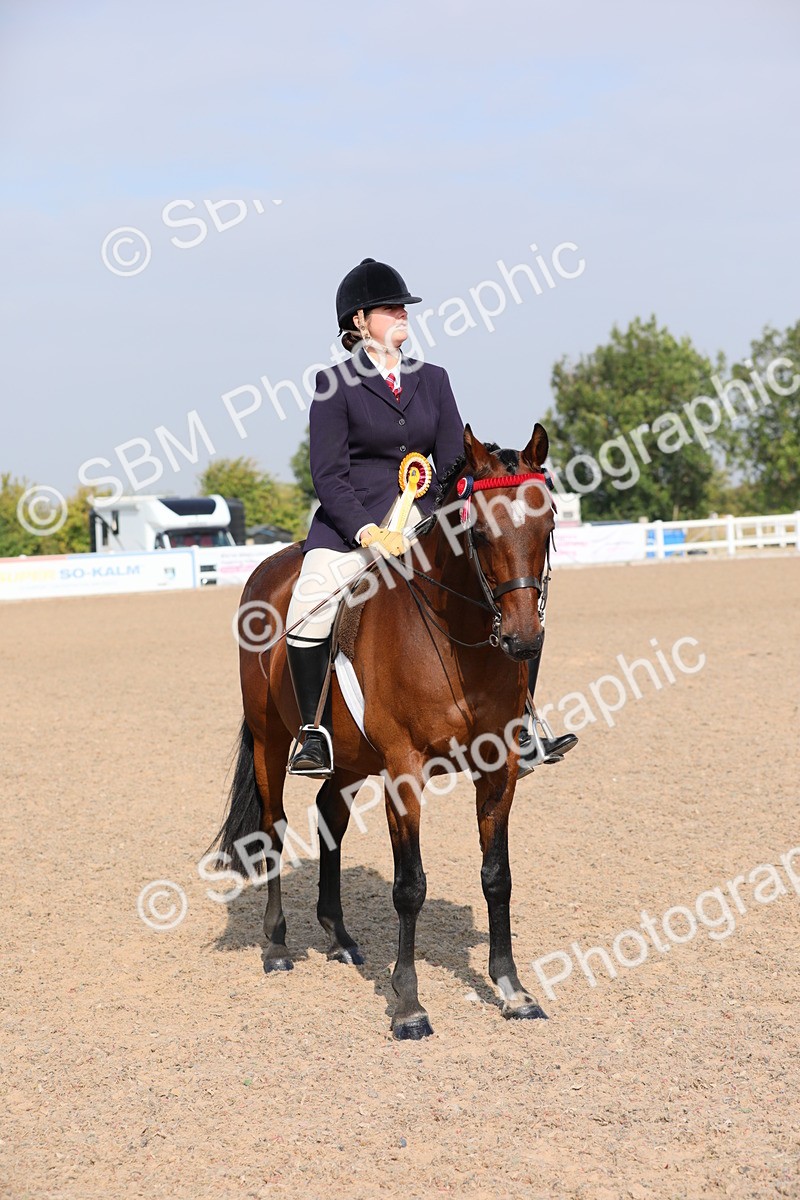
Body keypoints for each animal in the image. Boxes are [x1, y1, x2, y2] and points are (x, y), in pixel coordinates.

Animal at [210, 423, 557, 1039]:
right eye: (478, 531)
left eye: (548, 526)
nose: (523, 641)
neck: (456, 637)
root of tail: (269, 566)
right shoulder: (404, 771)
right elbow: (409, 885)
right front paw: (408, 1005)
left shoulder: (499, 768)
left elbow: (497, 875)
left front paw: (512, 990)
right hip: (270, 742)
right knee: (273, 829)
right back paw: (276, 946)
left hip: (350, 759)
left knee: (329, 815)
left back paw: (340, 937)